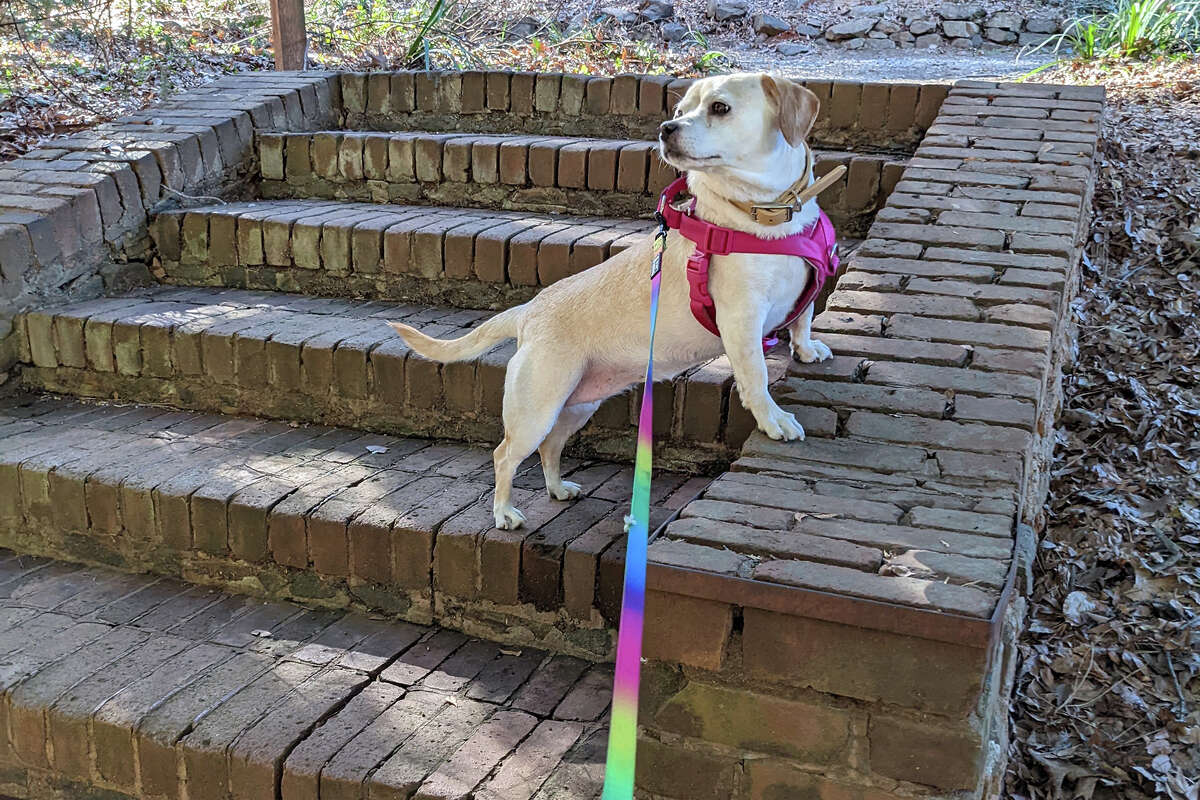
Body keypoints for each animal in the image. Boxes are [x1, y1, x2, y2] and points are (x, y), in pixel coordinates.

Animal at [391, 71, 835, 527]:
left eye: (719, 107)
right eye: (679, 110)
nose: (666, 129)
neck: (766, 212)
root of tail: (527, 312)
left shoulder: (806, 286)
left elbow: (803, 317)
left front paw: (806, 349)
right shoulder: (741, 320)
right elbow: (757, 377)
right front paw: (774, 420)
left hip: (577, 404)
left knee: (550, 447)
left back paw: (557, 489)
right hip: (536, 409)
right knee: (505, 455)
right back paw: (504, 512)